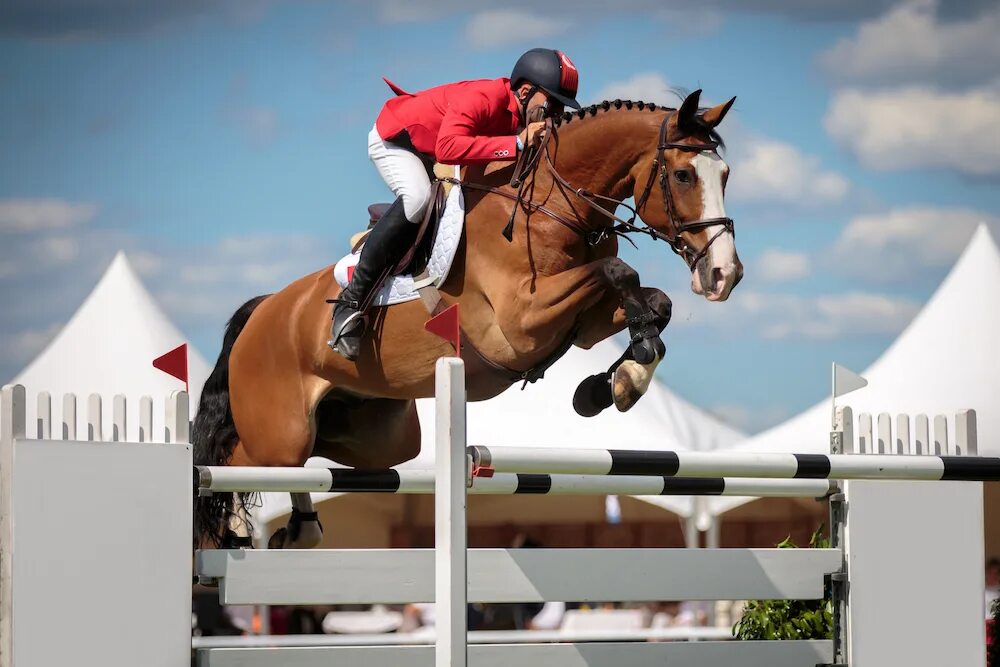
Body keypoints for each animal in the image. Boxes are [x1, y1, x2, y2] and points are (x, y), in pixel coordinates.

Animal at [193, 88, 744, 548]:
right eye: (683, 175)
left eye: (725, 176)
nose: (725, 275)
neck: (550, 206)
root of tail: (264, 310)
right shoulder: (520, 325)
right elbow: (620, 270)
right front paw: (618, 379)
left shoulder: (583, 326)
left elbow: (652, 302)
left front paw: (616, 382)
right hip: (279, 431)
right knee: (227, 461)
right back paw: (236, 526)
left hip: (377, 438)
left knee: (307, 458)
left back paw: (300, 528)